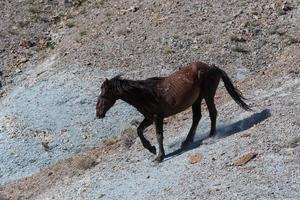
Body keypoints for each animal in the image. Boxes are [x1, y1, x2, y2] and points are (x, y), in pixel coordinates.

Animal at [96, 61, 251, 162]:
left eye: (103, 95)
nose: (98, 113)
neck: (146, 93)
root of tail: (212, 67)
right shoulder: (149, 118)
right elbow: (139, 131)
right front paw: (151, 149)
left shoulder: (157, 117)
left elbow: (159, 135)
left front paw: (160, 156)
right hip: (197, 99)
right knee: (197, 117)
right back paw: (187, 141)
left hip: (208, 94)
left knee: (212, 113)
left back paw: (211, 136)